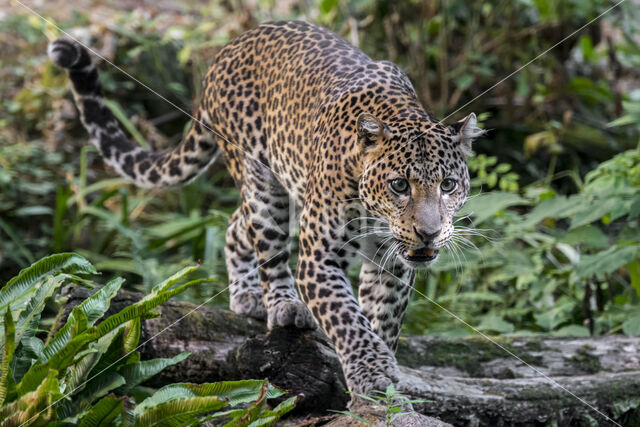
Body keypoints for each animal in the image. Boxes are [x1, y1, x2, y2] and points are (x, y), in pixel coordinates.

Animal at [46, 20, 484, 402]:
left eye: (448, 185)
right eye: (399, 186)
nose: (429, 232)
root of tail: (228, 48)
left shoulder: (390, 261)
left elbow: (381, 318)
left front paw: (380, 383)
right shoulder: (320, 256)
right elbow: (347, 319)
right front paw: (371, 373)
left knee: (235, 225)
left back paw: (247, 296)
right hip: (263, 183)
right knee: (265, 242)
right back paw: (282, 306)